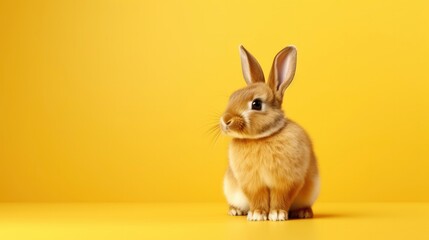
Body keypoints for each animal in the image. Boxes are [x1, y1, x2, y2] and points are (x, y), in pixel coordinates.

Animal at [221, 45, 318, 221]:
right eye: (232, 96)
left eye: (256, 104)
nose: (225, 121)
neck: (263, 137)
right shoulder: (252, 183)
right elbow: (257, 197)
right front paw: (257, 215)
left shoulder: (287, 181)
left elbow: (281, 197)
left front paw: (277, 214)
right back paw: (235, 211)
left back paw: (304, 213)